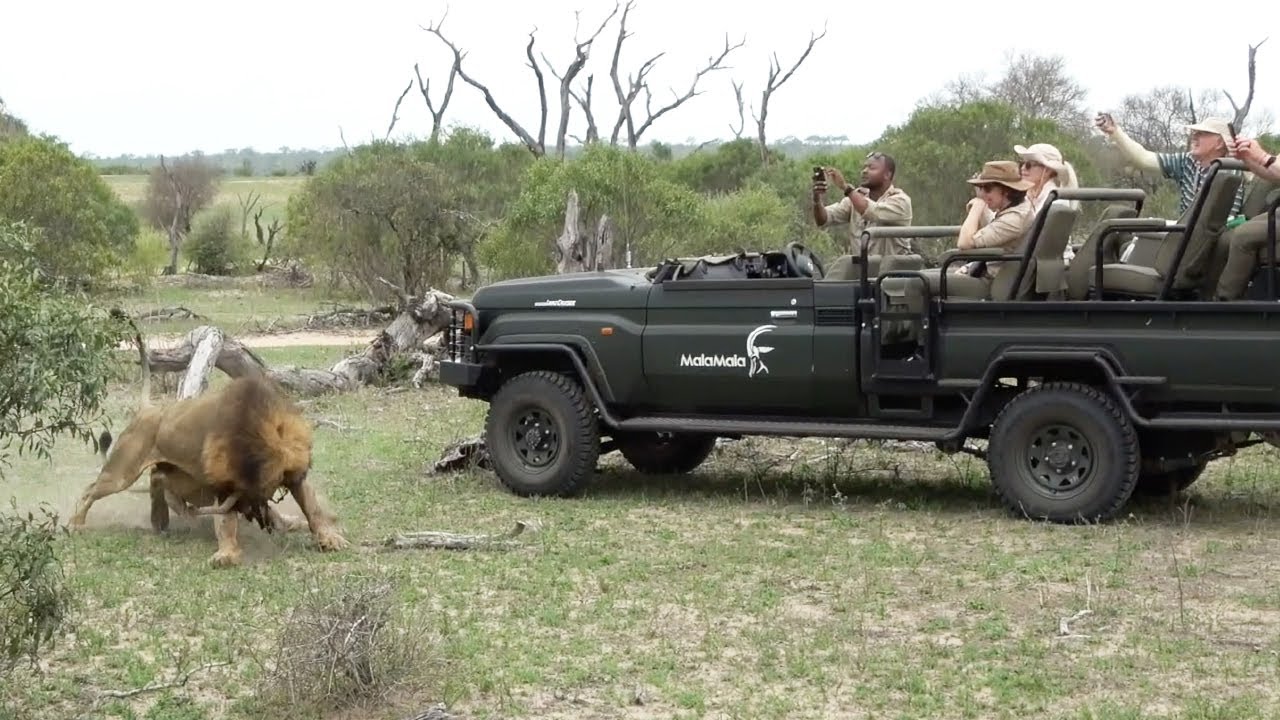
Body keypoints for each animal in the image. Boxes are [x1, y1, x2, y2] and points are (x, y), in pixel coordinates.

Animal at [69, 316, 349, 567]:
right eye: (241, 491)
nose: (255, 515)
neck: (255, 438)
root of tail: (147, 410)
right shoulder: (221, 486)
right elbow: (225, 523)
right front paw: (226, 554)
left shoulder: (295, 472)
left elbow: (313, 510)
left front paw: (330, 538)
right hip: (122, 472)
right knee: (91, 490)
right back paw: (75, 524)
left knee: (154, 480)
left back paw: (159, 520)